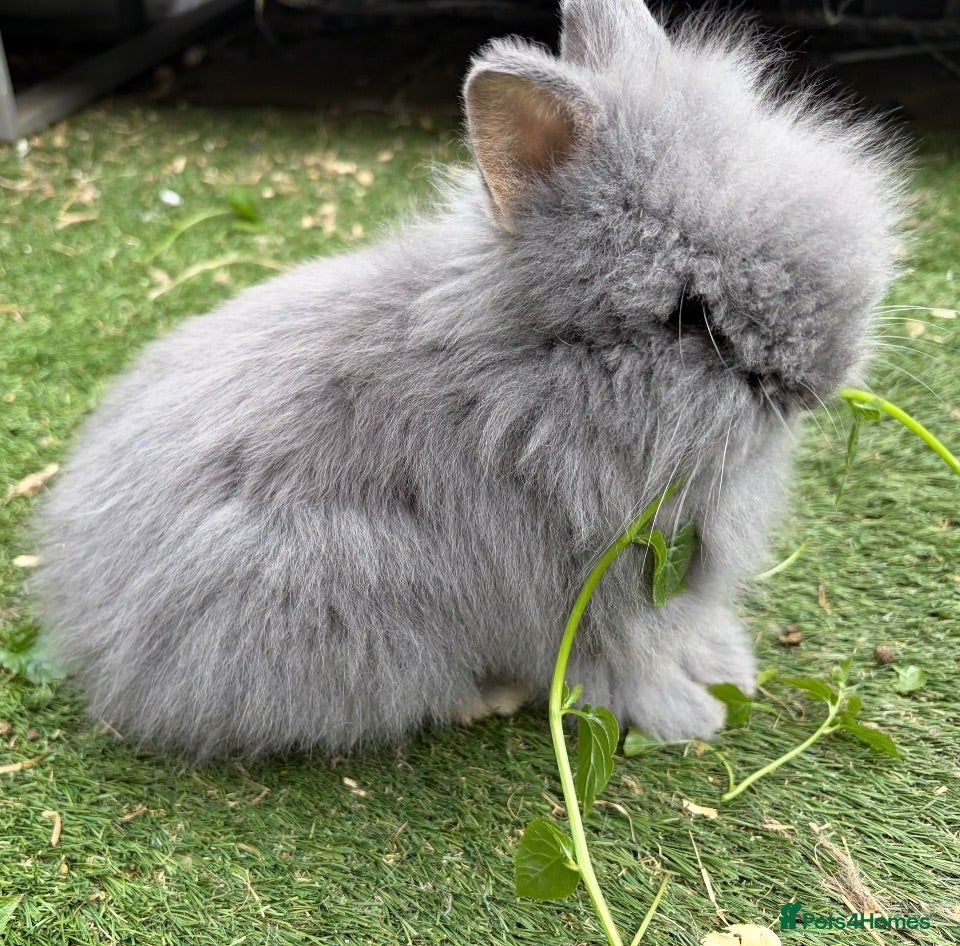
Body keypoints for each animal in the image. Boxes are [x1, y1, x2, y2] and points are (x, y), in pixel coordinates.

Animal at [32, 0, 904, 759]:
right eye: (691, 317)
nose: (821, 381)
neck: (528, 387)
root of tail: (90, 627)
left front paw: (726, 671)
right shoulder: (587, 604)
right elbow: (624, 667)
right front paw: (688, 716)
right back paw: (484, 696)